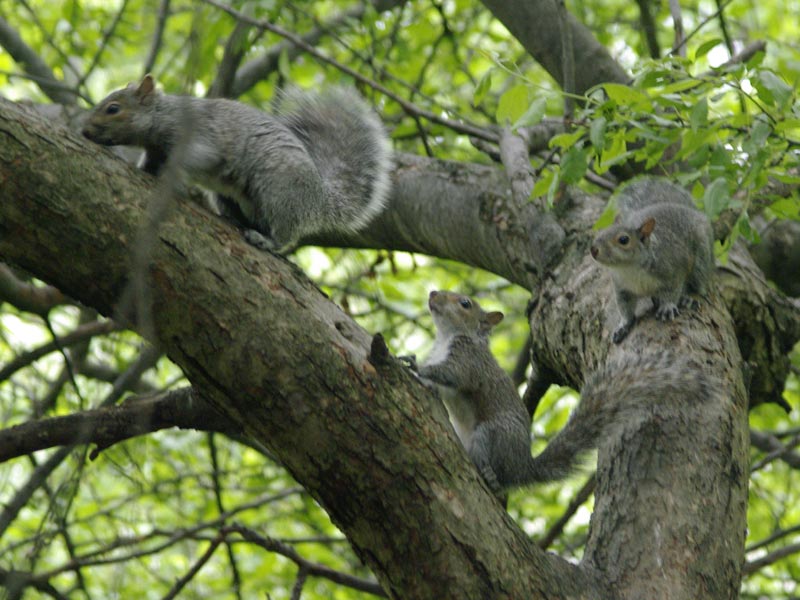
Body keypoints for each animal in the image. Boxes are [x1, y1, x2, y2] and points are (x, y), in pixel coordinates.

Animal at [82, 75, 392, 254]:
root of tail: (318, 199)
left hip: (279, 192)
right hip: (230, 196)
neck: (163, 114)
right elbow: (151, 161)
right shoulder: (156, 150)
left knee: (284, 235)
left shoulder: (197, 140)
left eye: (113, 109)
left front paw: (172, 180)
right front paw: (145, 170)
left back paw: (265, 241)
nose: (85, 130)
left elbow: (189, 162)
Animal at [415, 290, 710, 497]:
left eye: (465, 303)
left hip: (493, 433)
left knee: (497, 473)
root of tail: (523, 466)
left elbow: (453, 375)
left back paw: (489, 475)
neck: (447, 337)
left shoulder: (469, 361)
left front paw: (414, 365)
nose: (433, 294)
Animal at [590, 178, 714, 344]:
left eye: (623, 240)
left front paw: (667, 307)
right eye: (601, 232)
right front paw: (623, 325)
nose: (593, 250)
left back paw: (689, 297)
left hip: (701, 257)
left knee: (699, 282)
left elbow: (672, 291)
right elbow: (625, 309)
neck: (628, 269)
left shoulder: (672, 271)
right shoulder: (622, 288)